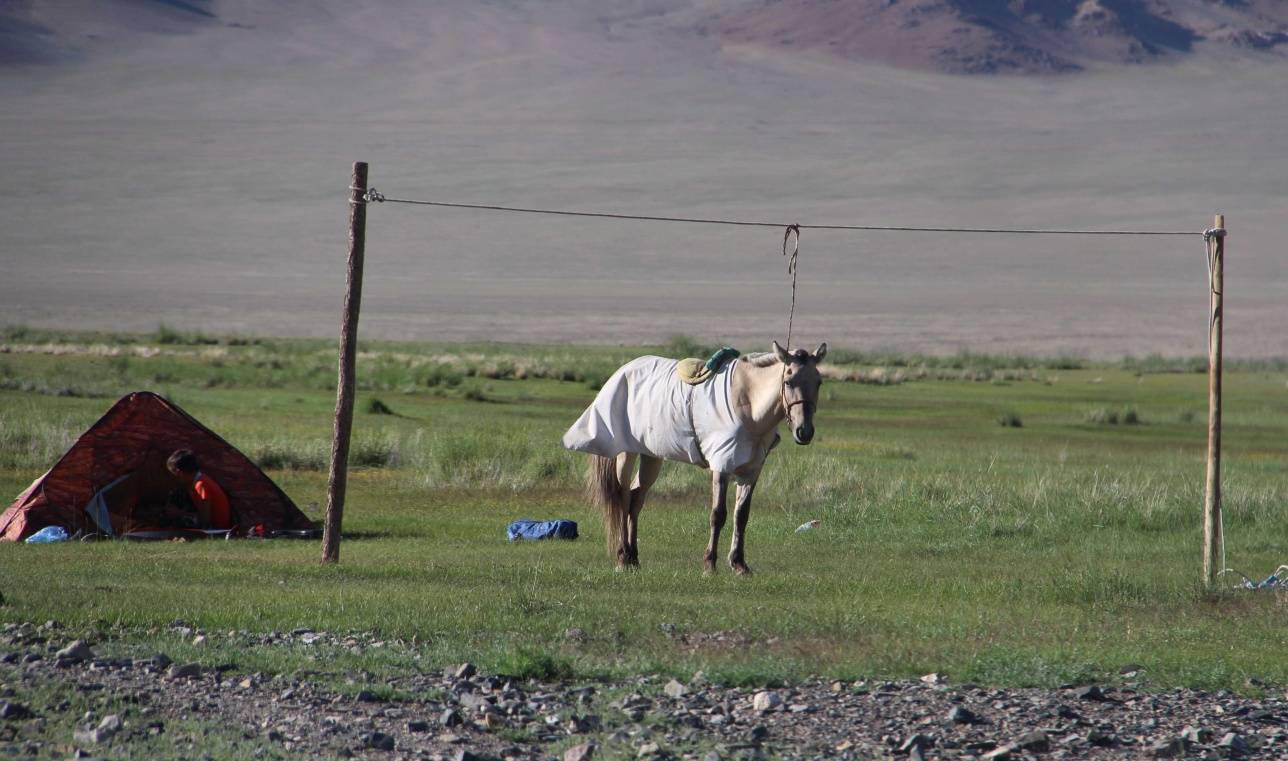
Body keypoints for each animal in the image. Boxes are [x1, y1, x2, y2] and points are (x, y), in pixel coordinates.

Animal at [561, 342, 824, 574]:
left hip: (651, 456)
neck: (747, 404)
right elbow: (718, 515)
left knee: (636, 499)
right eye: (788, 381)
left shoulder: (751, 471)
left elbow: (741, 516)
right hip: (627, 452)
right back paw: (623, 556)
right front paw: (709, 564)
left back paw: (634, 558)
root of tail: (621, 371)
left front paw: (739, 564)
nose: (804, 432)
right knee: (623, 497)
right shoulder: (722, 466)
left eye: (819, 382)